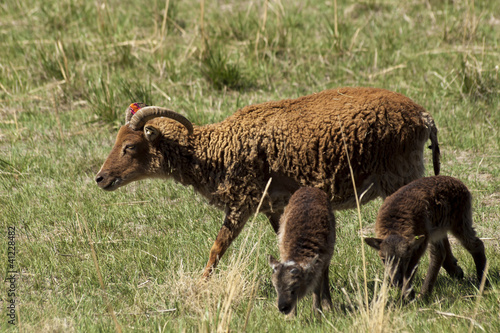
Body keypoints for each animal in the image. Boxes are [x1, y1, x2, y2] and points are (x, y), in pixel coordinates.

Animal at [95, 87, 440, 276]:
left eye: (129, 146)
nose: (100, 178)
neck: (216, 150)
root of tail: (423, 116)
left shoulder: (241, 203)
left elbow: (217, 248)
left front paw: (200, 285)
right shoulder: (274, 206)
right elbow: (283, 241)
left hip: (402, 178)